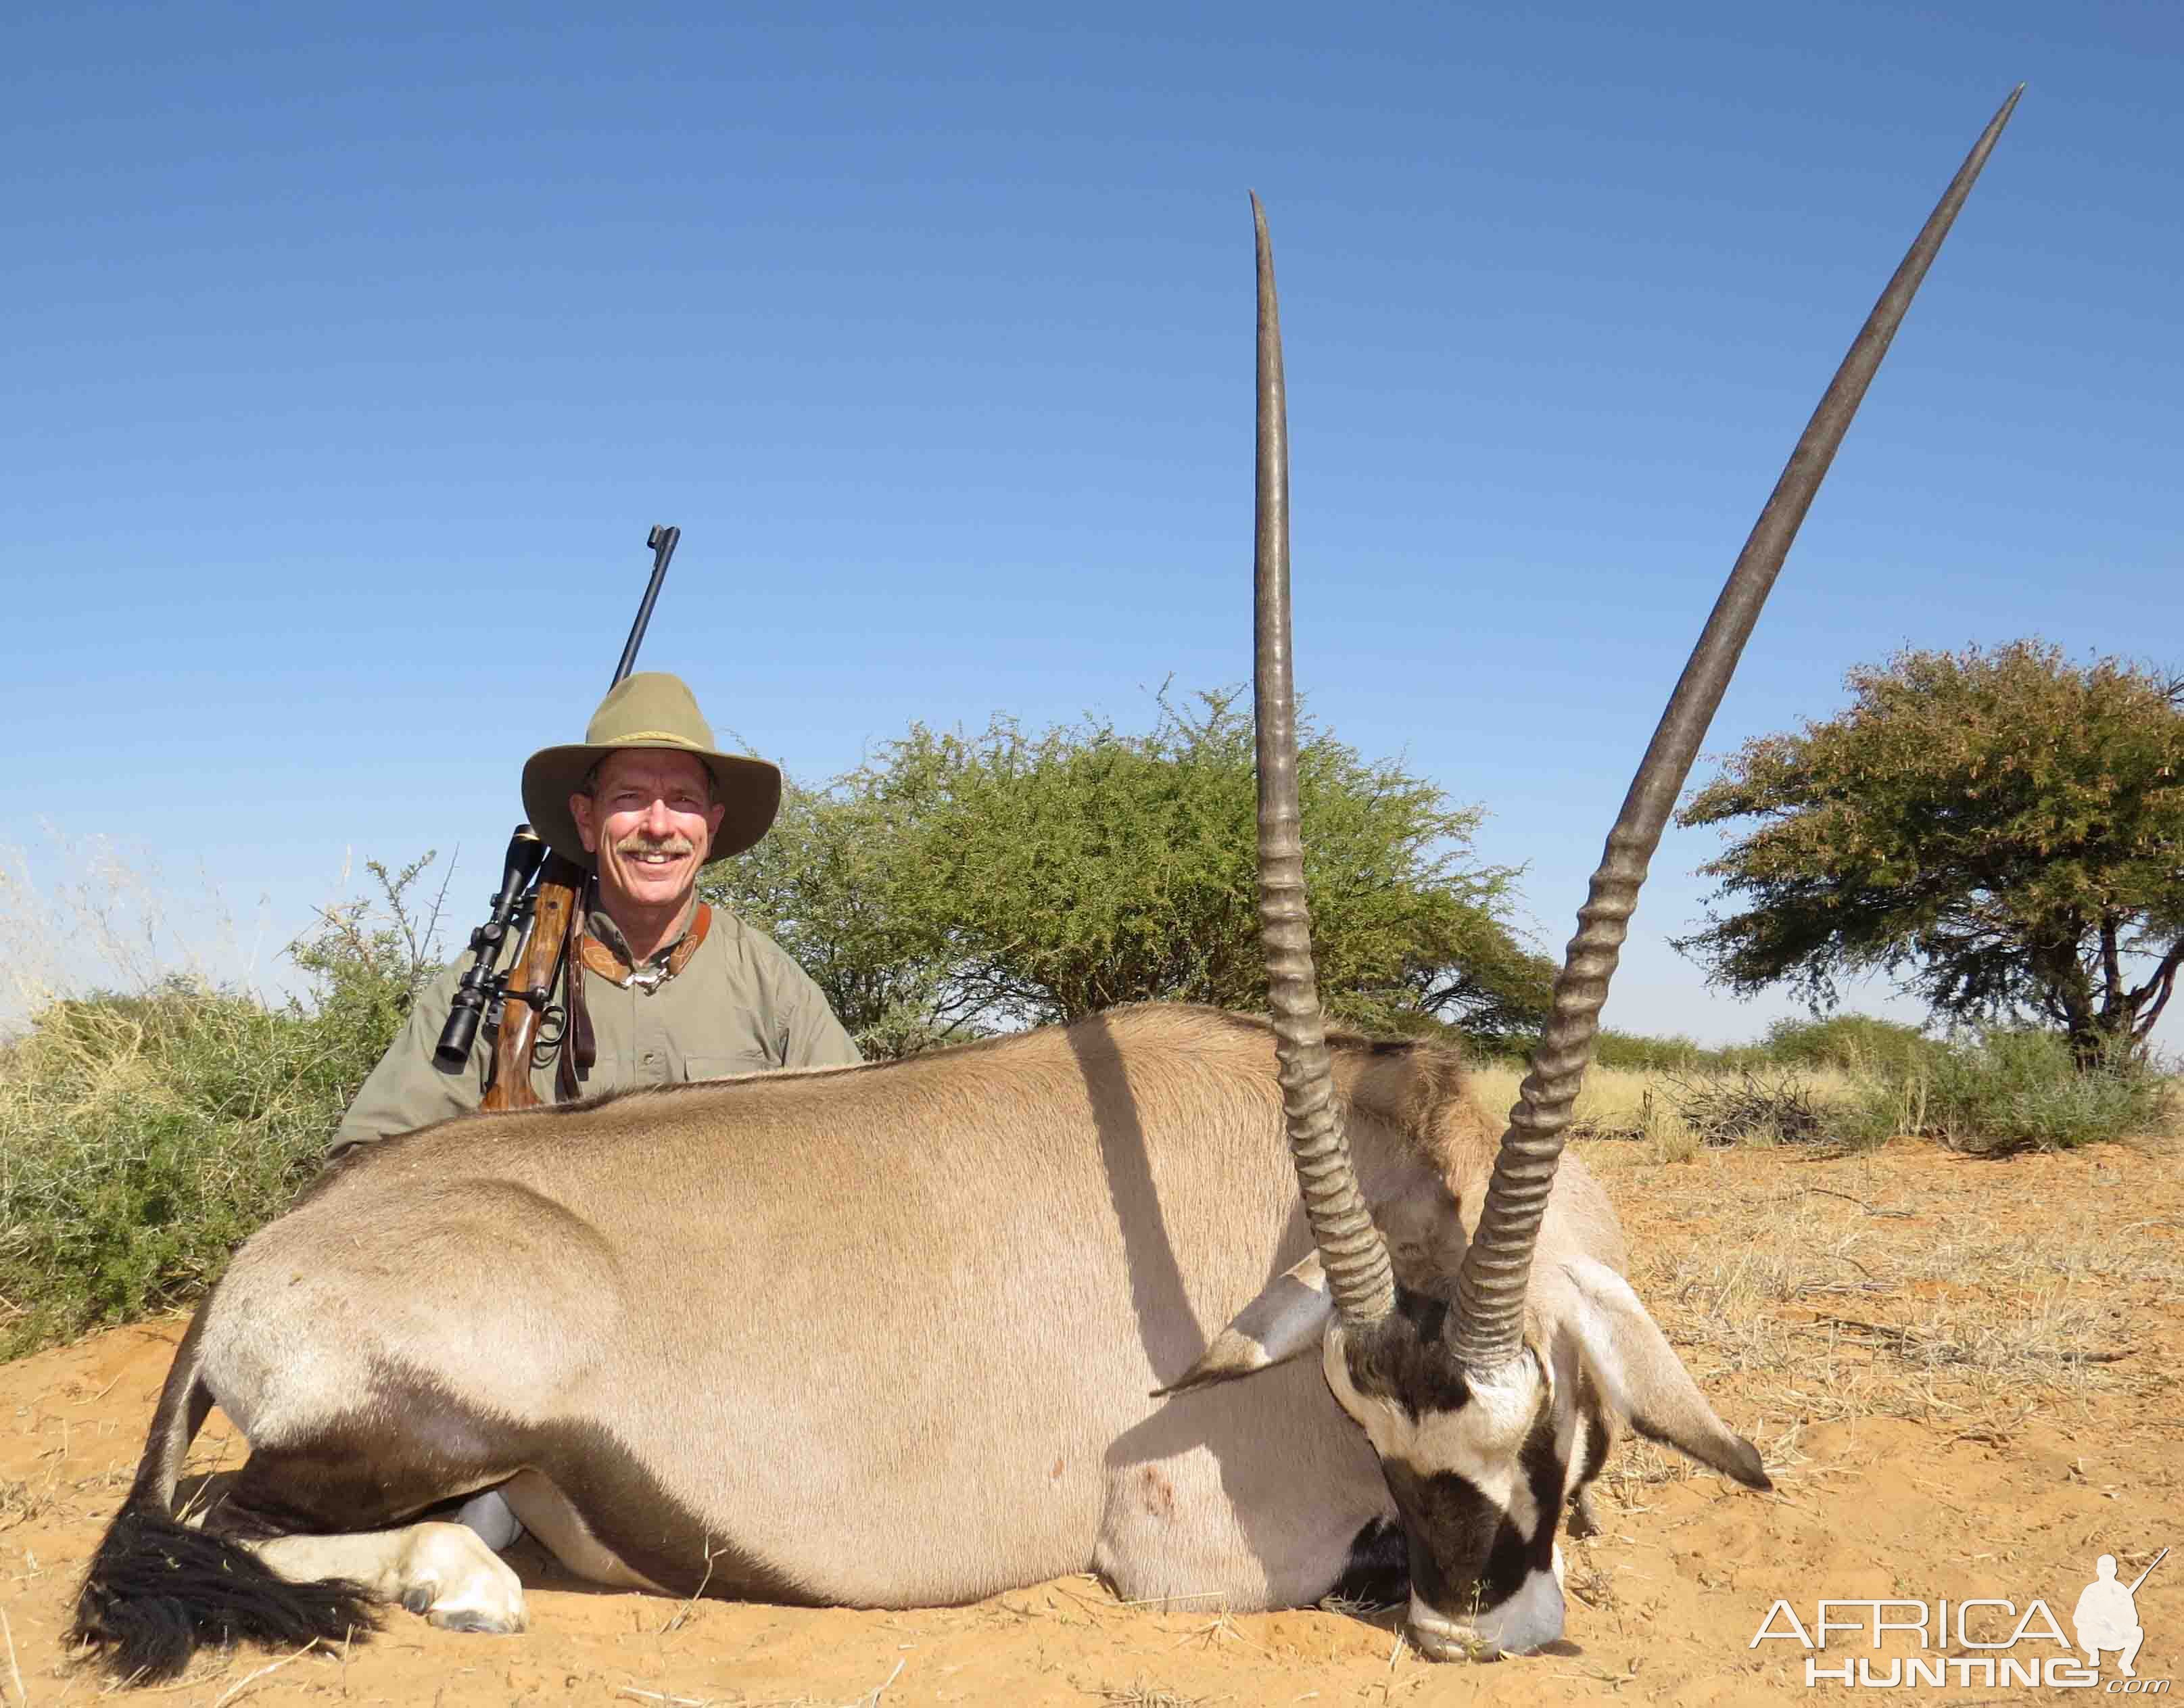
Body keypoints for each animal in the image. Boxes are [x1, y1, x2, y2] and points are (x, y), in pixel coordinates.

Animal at [72, 87, 2009, 1677]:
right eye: (1378, 1437)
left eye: (1544, 1420)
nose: (1478, 1627)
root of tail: (266, 1257)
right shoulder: (1194, 1542)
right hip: (418, 1431)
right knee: (268, 1522)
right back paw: (467, 1586)